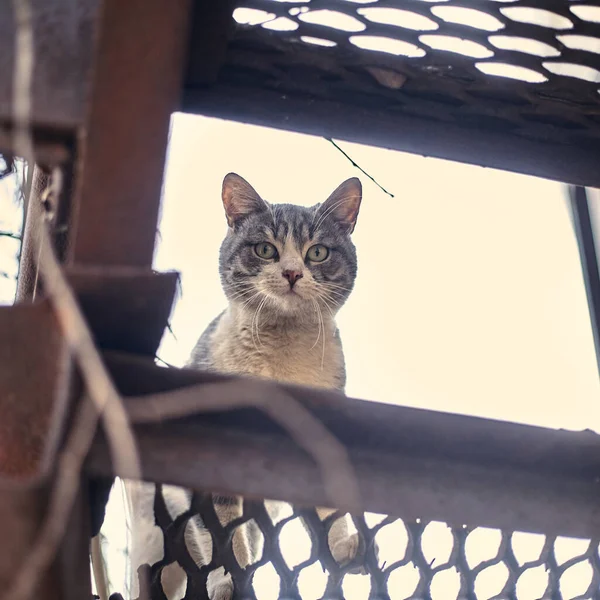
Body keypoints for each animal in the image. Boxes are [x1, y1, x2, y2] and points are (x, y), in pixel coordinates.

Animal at [125, 173, 366, 600]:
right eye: (265, 249)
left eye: (318, 252)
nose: (292, 273)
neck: (281, 360)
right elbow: (220, 532)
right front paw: (225, 581)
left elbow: (329, 510)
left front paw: (341, 547)